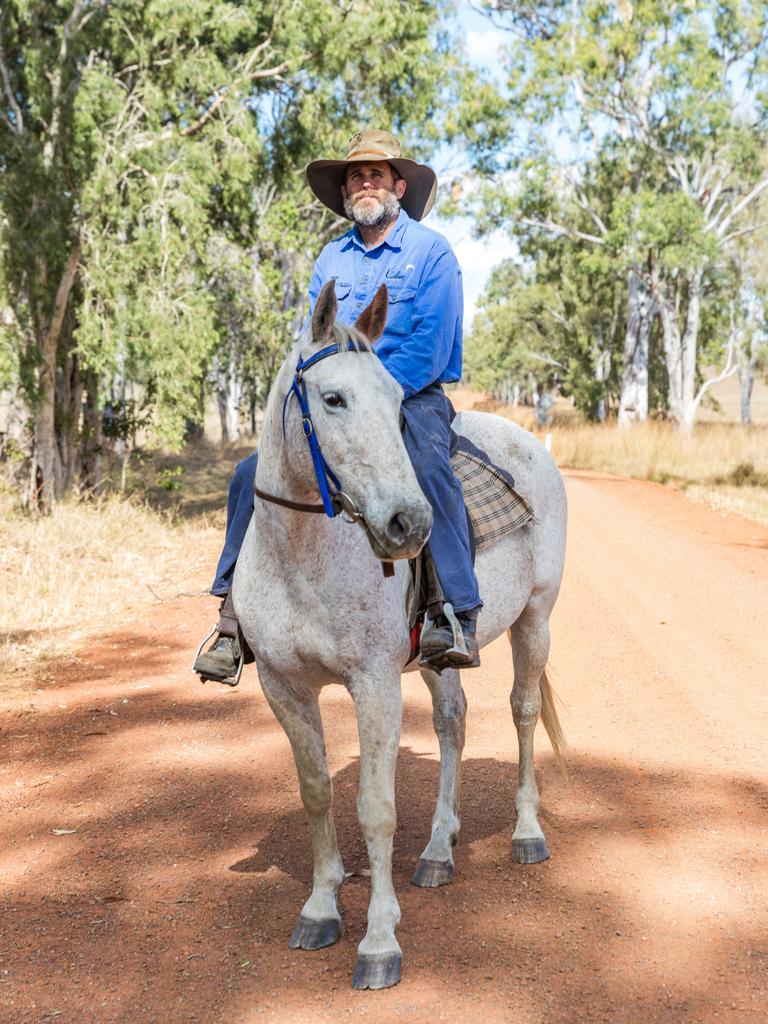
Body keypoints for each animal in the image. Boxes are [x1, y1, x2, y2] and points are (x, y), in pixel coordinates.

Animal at [236, 284, 573, 987]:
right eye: (333, 398)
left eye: (396, 402)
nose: (408, 524)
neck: (301, 557)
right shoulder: (283, 686)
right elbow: (316, 794)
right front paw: (321, 907)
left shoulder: (373, 685)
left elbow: (375, 807)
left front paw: (379, 941)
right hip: (441, 659)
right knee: (453, 724)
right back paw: (440, 850)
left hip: (536, 618)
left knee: (523, 713)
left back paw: (527, 834)